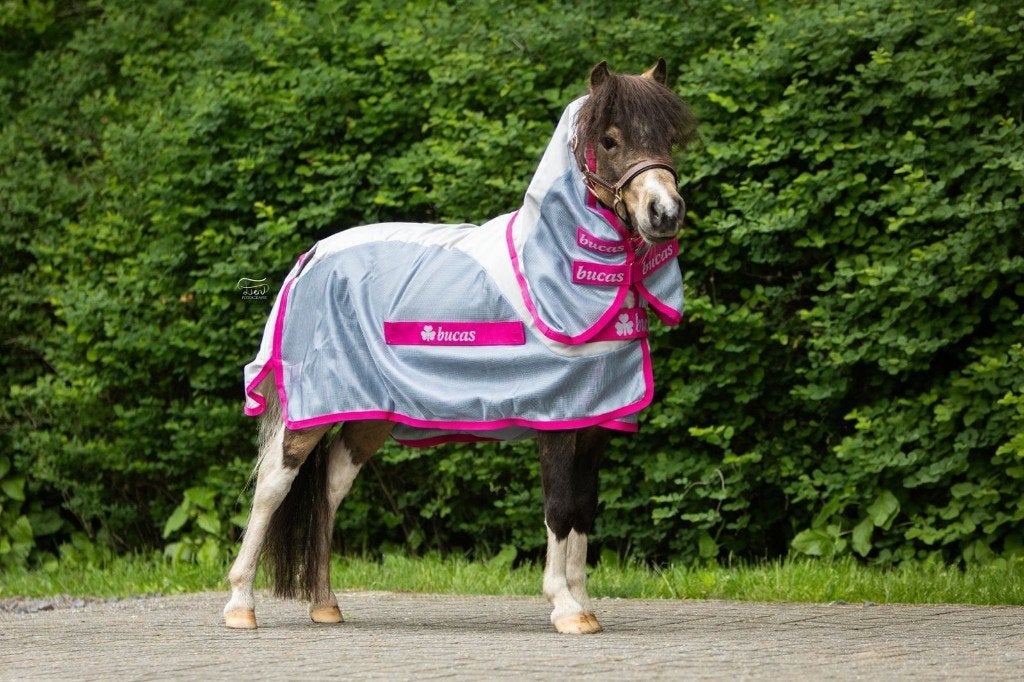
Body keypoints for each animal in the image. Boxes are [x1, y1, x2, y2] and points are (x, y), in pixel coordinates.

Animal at [224, 59, 698, 634]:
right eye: (609, 139)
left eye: (670, 138)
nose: (664, 212)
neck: (550, 277)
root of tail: (312, 256)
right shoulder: (557, 422)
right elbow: (560, 508)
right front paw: (563, 607)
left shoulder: (595, 426)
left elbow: (584, 510)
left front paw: (585, 607)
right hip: (312, 407)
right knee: (274, 483)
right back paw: (240, 604)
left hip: (367, 415)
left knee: (331, 487)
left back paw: (325, 604)